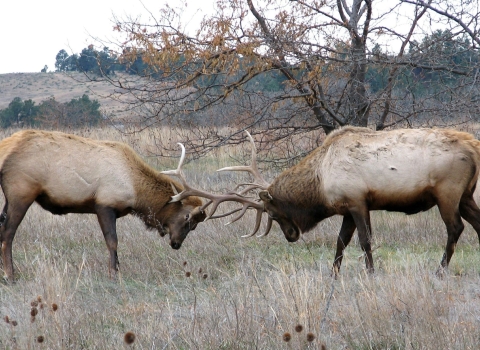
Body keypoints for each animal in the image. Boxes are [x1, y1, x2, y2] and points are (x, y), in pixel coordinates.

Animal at [0, 129, 206, 282]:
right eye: (187, 217)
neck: (135, 191)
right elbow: (112, 241)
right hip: (21, 194)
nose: (176, 244)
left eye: (195, 225)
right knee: (7, 234)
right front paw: (112, 275)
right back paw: (10, 276)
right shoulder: (104, 205)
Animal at [168, 126, 480, 276]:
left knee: (455, 229)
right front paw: (333, 274)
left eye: (273, 212)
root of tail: (473, 146)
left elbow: (365, 241)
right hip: (466, 195)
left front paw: (371, 273)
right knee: (476, 225)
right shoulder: (347, 208)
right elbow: (341, 242)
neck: (320, 184)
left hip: (448, 193)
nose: (291, 236)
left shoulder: (357, 200)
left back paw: (439, 271)